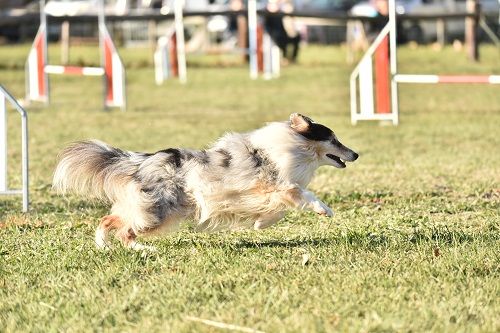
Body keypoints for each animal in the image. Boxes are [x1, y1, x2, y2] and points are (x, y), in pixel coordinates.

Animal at [52, 113, 358, 248]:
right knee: (124, 229)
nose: (356, 153)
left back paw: (104, 245)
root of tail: (143, 161)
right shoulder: (273, 186)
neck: (292, 146)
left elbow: (279, 210)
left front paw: (261, 223)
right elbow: (301, 195)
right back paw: (142, 248)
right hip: (158, 212)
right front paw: (324, 209)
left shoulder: (266, 193)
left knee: (110, 220)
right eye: (334, 139)